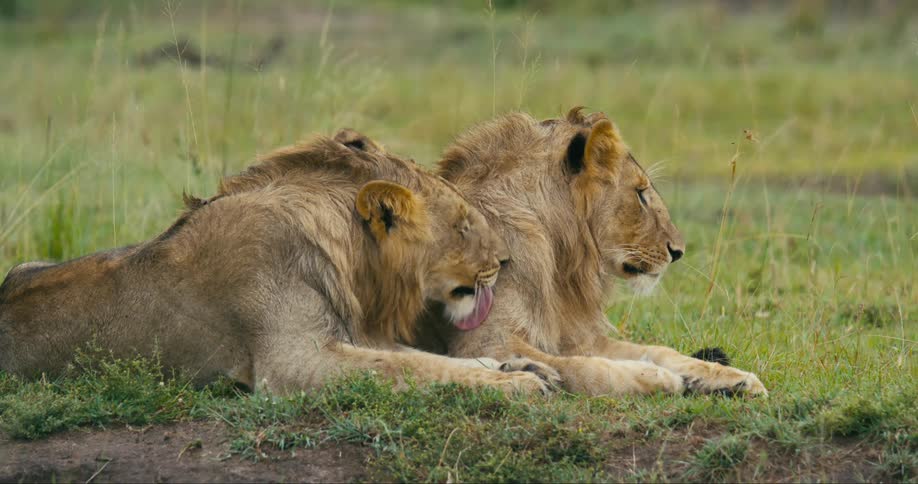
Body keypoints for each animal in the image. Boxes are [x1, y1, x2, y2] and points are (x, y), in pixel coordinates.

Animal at [0, 130, 555, 395]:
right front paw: (518, 384)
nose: (504, 261)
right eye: (463, 225)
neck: (350, 260)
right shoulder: (293, 362)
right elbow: (405, 368)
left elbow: (423, 358)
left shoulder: (349, 335)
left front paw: (517, 365)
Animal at [417, 108, 767, 397]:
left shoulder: (577, 337)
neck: (559, 257)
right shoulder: (484, 341)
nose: (678, 250)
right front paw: (658, 377)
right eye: (640, 194)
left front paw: (733, 377)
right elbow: (584, 367)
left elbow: (659, 350)